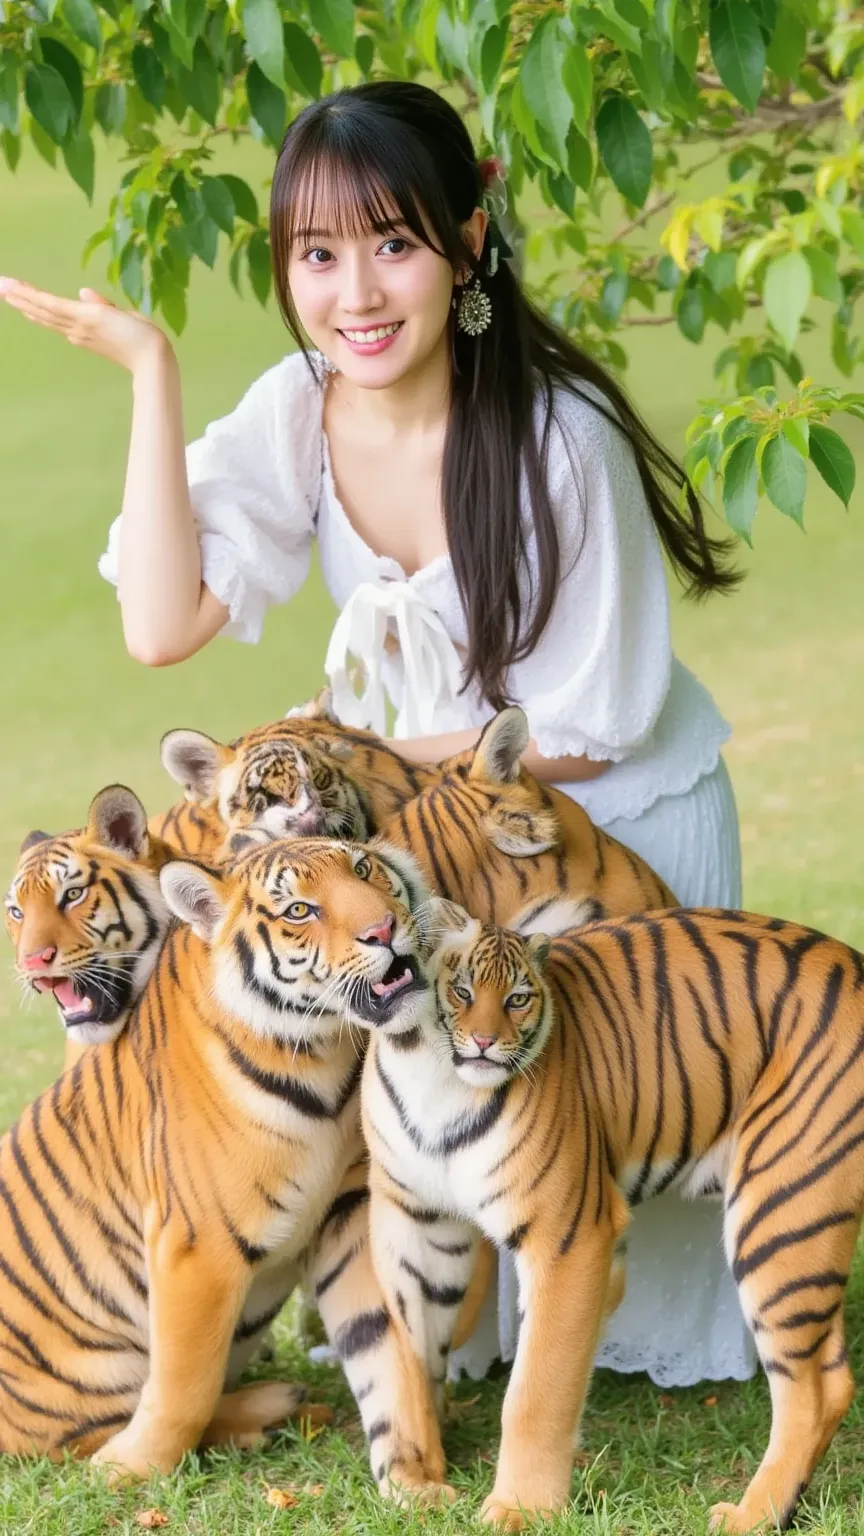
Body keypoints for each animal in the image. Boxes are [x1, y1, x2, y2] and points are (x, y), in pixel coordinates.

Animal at [0, 829, 458, 1499]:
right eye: (300, 910)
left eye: (363, 869)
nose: (385, 929)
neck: (324, 1054)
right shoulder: (198, 1244)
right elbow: (184, 1386)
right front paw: (124, 1470)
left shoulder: (349, 1215)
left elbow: (387, 1349)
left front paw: (415, 1478)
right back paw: (266, 1409)